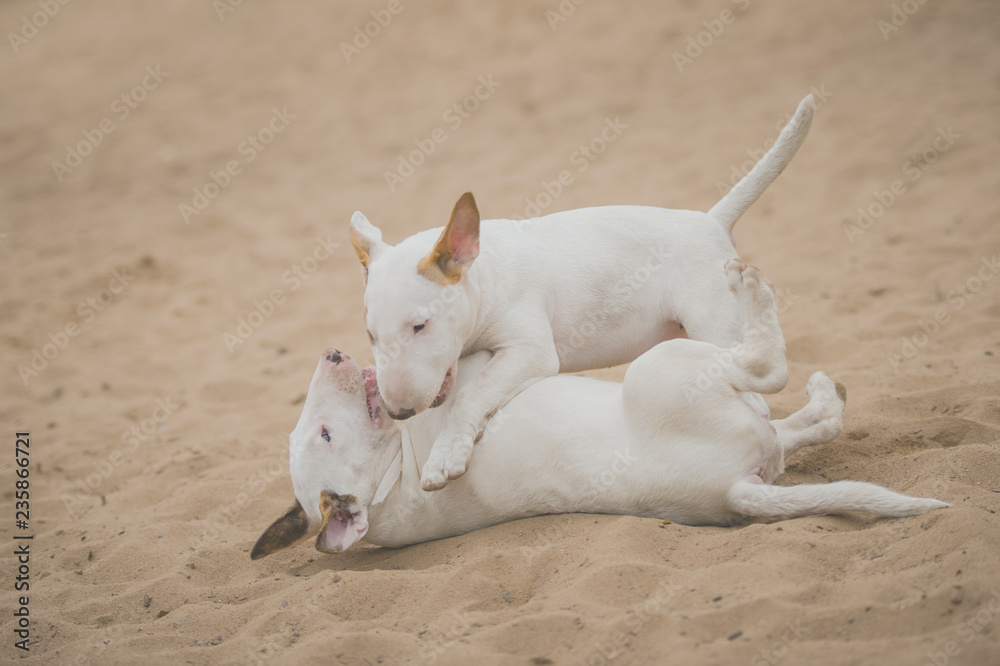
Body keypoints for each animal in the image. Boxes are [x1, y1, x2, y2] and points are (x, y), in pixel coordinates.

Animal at [250, 260, 944, 556]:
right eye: (326, 434)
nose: (333, 354)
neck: (393, 478)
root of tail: (734, 491)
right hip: (666, 368)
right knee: (768, 368)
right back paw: (758, 299)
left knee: (794, 422)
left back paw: (824, 396)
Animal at [348, 94, 816, 488]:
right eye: (370, 335)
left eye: (420, 326)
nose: (398, 412)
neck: (486, 276)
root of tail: (711, 220)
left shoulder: (532, 350)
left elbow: (471, 395)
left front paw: (444, 457)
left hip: (716, 322)